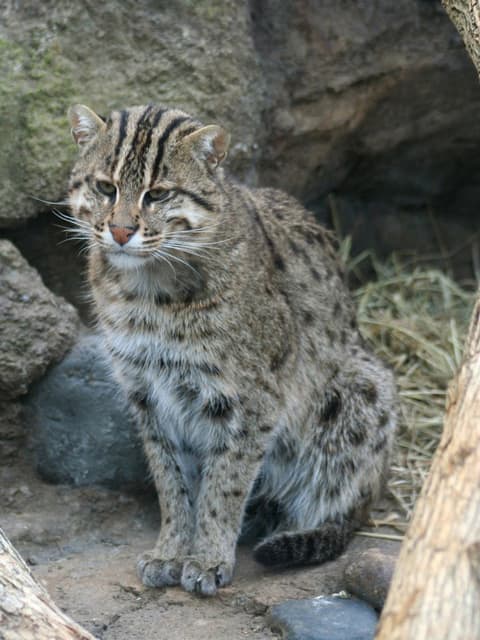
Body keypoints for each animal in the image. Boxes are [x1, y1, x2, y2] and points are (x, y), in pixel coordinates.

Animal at [65, 102, 396, 596]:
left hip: (365, 388)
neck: (147, 292)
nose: (121, 232)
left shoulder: (250, 397)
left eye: (158, 194)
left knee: (344, 509)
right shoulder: (146, 393)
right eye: (106, 187)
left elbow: (224, 484)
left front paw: (207, 558)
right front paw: (171, 550)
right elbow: (172, 483)